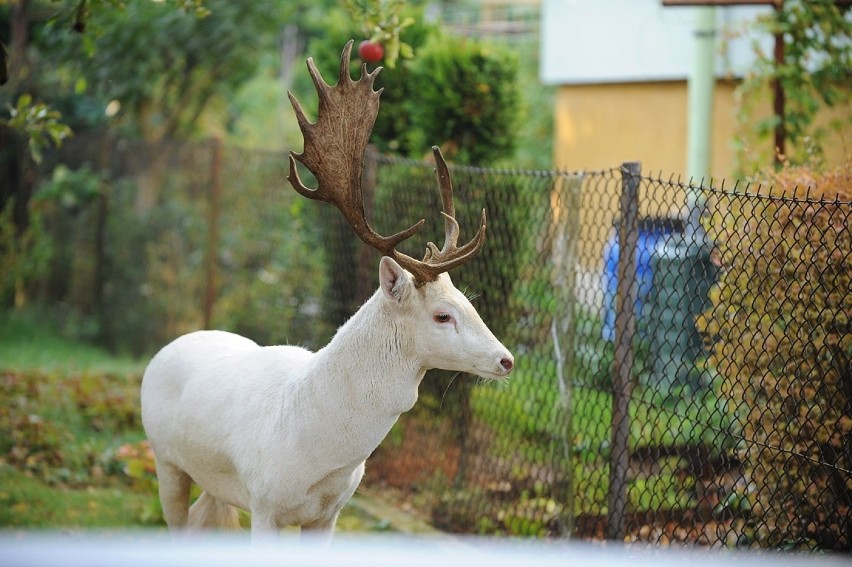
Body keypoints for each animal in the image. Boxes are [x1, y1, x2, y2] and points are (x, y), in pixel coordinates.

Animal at [140, 42, 512, 544]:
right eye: (442, 315)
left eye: (468, 304)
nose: (506, 360)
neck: (317, 451)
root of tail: (171, 345)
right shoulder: (264, 503)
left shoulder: (330, 512)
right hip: (164, 459)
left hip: (214, 482)